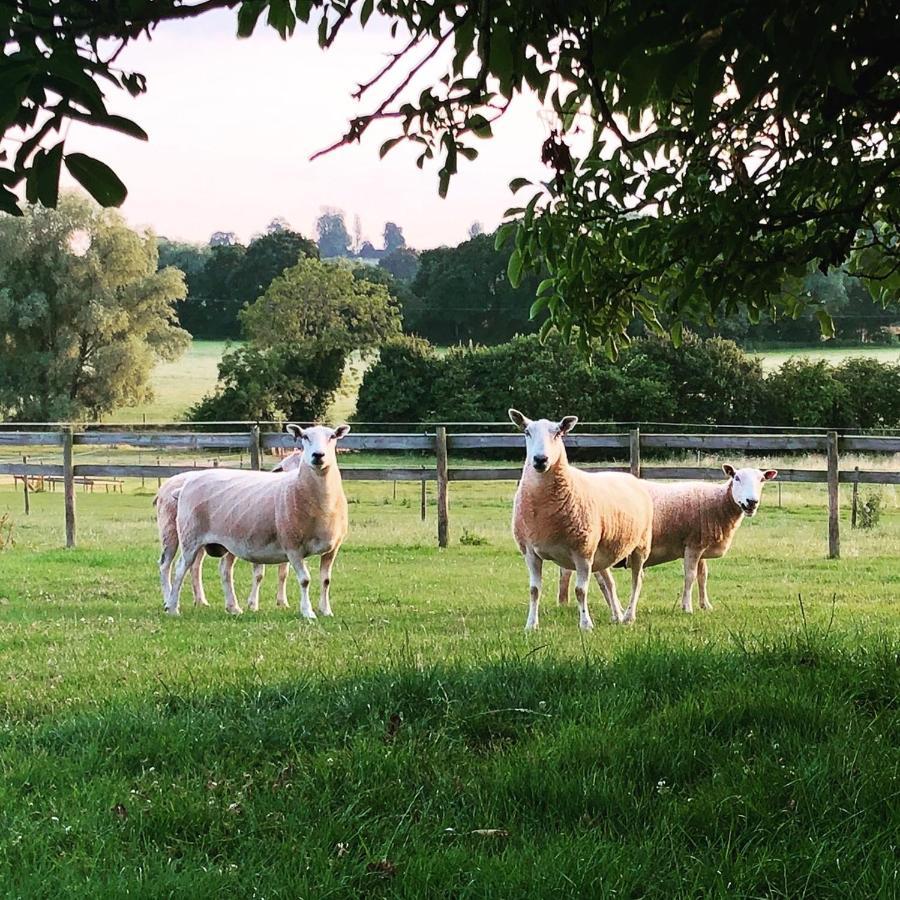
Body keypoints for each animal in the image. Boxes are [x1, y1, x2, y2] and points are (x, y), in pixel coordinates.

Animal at [165, 426, 352, 616]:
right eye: (305, 436)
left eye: (332, 436)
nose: (318, 455)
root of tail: (186, 483)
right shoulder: (293, 547)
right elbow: (305, 580)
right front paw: (308, 612)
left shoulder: (332, 549)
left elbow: (326, 580)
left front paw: (326, 611)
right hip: (190, 537)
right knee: (179, 569)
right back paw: (172, 608)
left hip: (225, 542)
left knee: (223, 570)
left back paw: (233, 608)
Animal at [506, 410, 652, 628]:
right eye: (526, 432)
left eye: (558, 433)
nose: (540, 459)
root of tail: (630, 476)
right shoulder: (530, 552)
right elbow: (534, 590)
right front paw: (531, 625)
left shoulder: (582, 551)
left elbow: (580, 591)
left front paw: (586, 624)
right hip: (603, 551)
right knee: (609, 582)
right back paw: (617, 615)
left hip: (640, 544)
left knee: (637, 579)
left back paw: (628, 616)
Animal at [556, 464, 772, 620]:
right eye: (736, 477)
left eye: (762, 480)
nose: (752, 502)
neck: (717, 503)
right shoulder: (693, 545)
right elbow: (690, 576)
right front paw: (687, 607)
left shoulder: (700, 544)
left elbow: (703, 576)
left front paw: (705, 605)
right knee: (603, 581)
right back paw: (615, 611)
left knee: (573, 573)